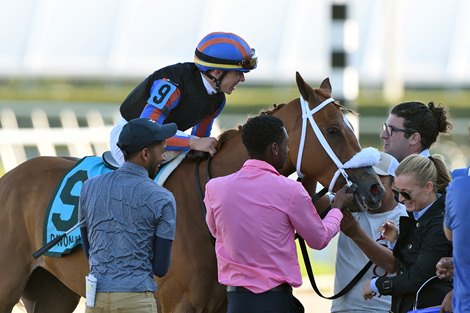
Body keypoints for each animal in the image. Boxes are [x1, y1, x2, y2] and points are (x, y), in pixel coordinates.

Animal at [0, 72, 384, 310]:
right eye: (334, 130)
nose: (375, 188)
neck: (203, 204)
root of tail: (9, 177)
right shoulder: (175, 304)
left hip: (52, 292)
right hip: (8, 286)